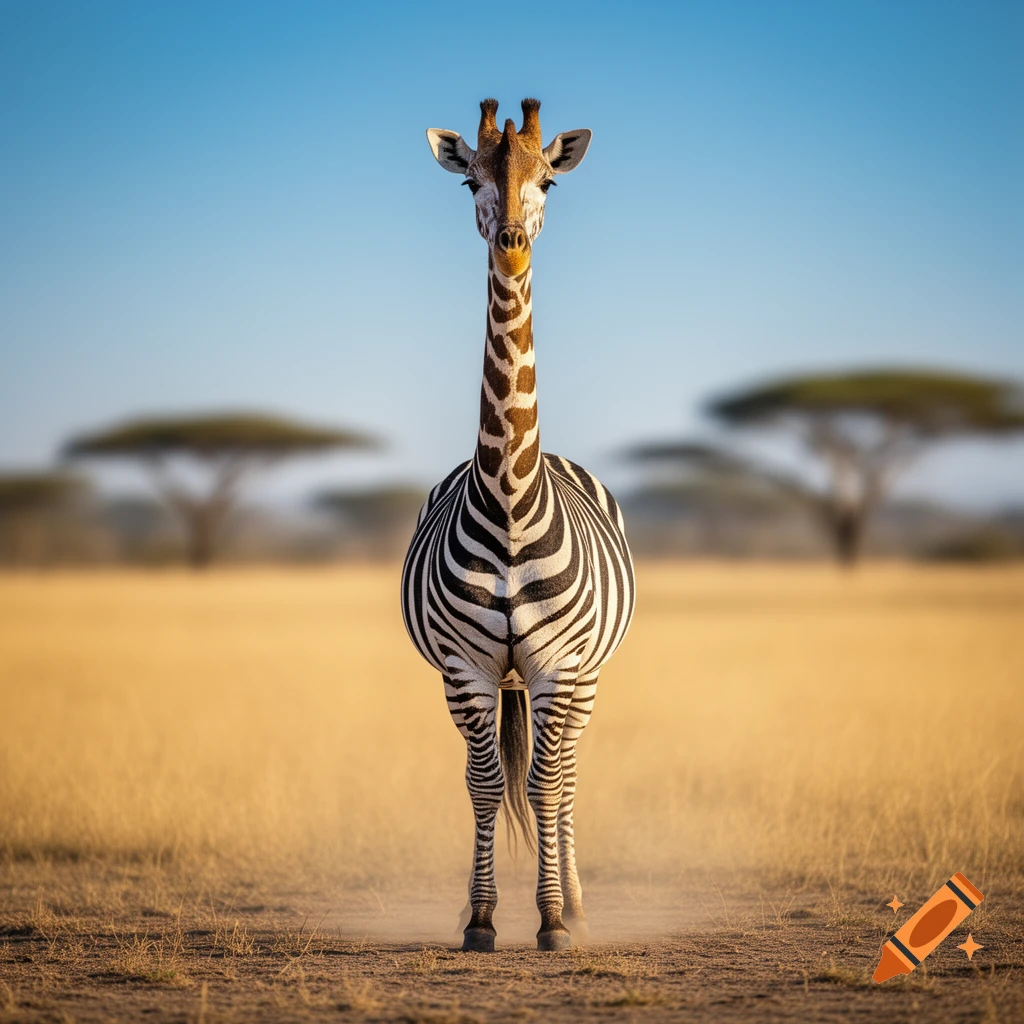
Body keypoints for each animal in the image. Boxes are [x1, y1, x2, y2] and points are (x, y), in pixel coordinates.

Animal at [401, 98, 635, 952]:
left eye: (549, 182)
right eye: (470, 178)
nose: (511, 245)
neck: (506, 498)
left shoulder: (559, 665)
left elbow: (542, 781)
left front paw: (552, 920)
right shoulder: (463, 669)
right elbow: (483, 783)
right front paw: (479, 918)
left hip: (586, 677)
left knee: (563, 774)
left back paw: (575, 903)